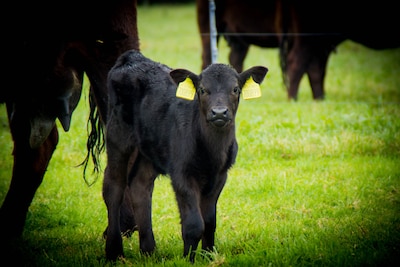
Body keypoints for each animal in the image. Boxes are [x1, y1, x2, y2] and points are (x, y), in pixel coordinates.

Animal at [102, 49, 268, 262]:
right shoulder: (181, 174)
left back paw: (149, 252)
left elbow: (209, 221)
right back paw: (114, 252)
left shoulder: (220, 175)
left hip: (148, 148)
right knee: (113, 186)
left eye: (235, 89)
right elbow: (194, 224)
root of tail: (132, 57)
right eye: (202, 90)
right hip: (118, 135)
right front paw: (188, 258)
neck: (212, 152)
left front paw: (208, 256)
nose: (219, 113)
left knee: (140, 186)